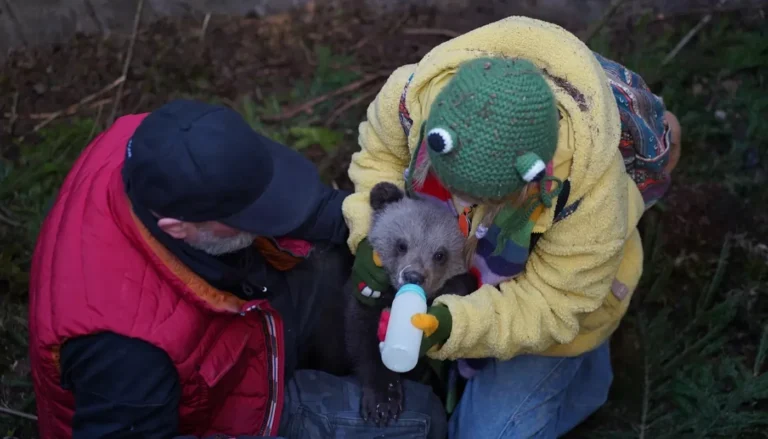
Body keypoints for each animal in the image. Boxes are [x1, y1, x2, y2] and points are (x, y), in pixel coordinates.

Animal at [301, 181, 477, 426]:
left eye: (440, 254)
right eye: (401, 244)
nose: (413, 276)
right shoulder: (361, 301)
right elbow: (362, 340)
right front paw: (382, 400)